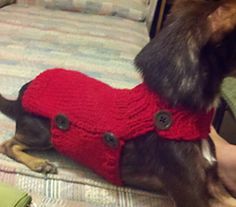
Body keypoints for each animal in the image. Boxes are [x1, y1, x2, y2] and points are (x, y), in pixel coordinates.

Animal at [0, 0, 236, 206]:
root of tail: (24, 91)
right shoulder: (192, 195)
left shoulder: (214, 184)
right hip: (43, 134)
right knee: (8, 145)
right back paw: (39, 163)